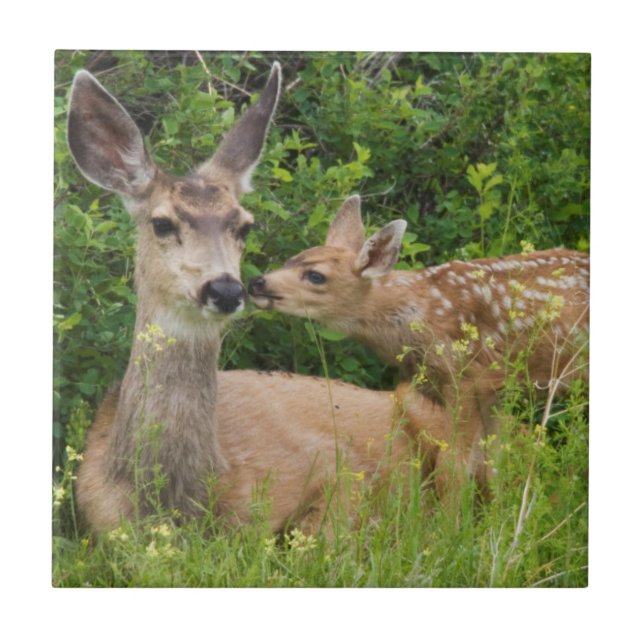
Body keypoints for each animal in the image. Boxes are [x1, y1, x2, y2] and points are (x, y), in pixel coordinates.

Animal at [249, 195, 590, 500]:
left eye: (316, 276)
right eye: (291, 259)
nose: (257, 283)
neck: (419, 315)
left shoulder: (469, 377)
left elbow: (454, 467)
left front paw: (452, 529)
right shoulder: (493, 390)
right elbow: (491, 466)